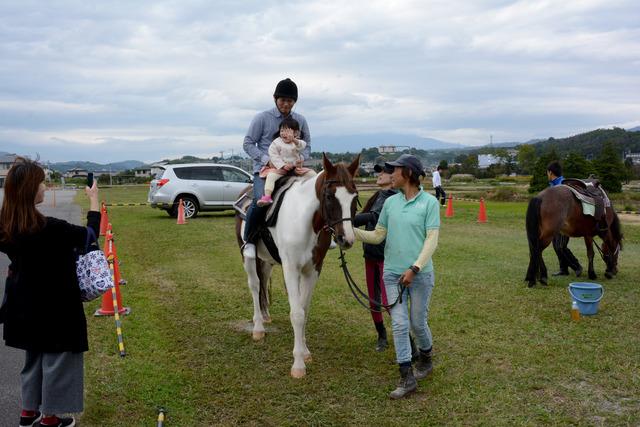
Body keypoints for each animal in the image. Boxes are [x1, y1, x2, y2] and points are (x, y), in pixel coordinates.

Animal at [236, 154, 360, 378]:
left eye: (354, 197)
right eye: (330, 196)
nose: (346, 239)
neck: (306, 221)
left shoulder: (313, 270)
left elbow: (304, 309)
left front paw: (305, 351)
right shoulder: (291, 269)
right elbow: (297, 314)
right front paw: (298, 365)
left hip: (266, 260)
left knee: (263, 281)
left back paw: (265, 316)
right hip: (248, 257)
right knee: (255, 286)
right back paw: (258, 327)